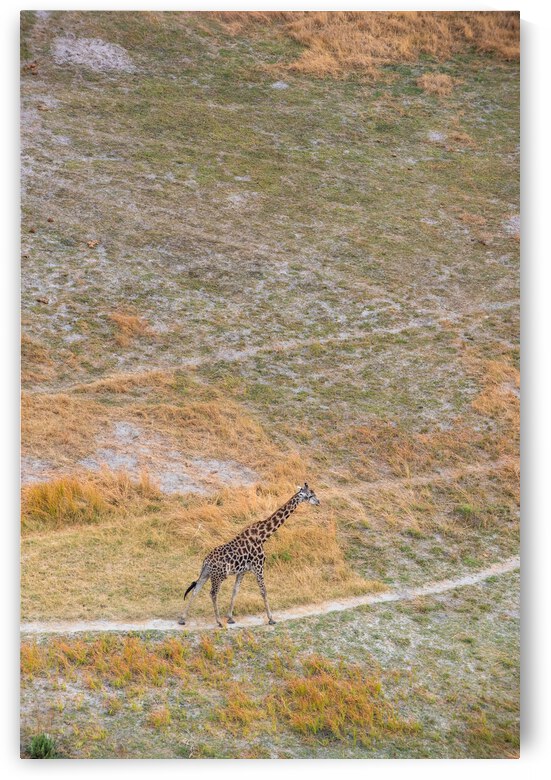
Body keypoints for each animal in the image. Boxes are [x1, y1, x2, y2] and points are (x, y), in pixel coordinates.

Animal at [178, 483, 320, 627]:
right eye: (310, 495)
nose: (318, 502)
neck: (263, 536)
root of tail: (206, 561)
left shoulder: (243, 571)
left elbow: (235, 591)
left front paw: (230, 617)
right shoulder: (259, 567)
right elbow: (263, 591)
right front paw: (271, 619)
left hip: (206, 573)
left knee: (196, 589)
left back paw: (183, 619)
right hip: (219, 576)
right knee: (213, 593)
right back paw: (218, 621)